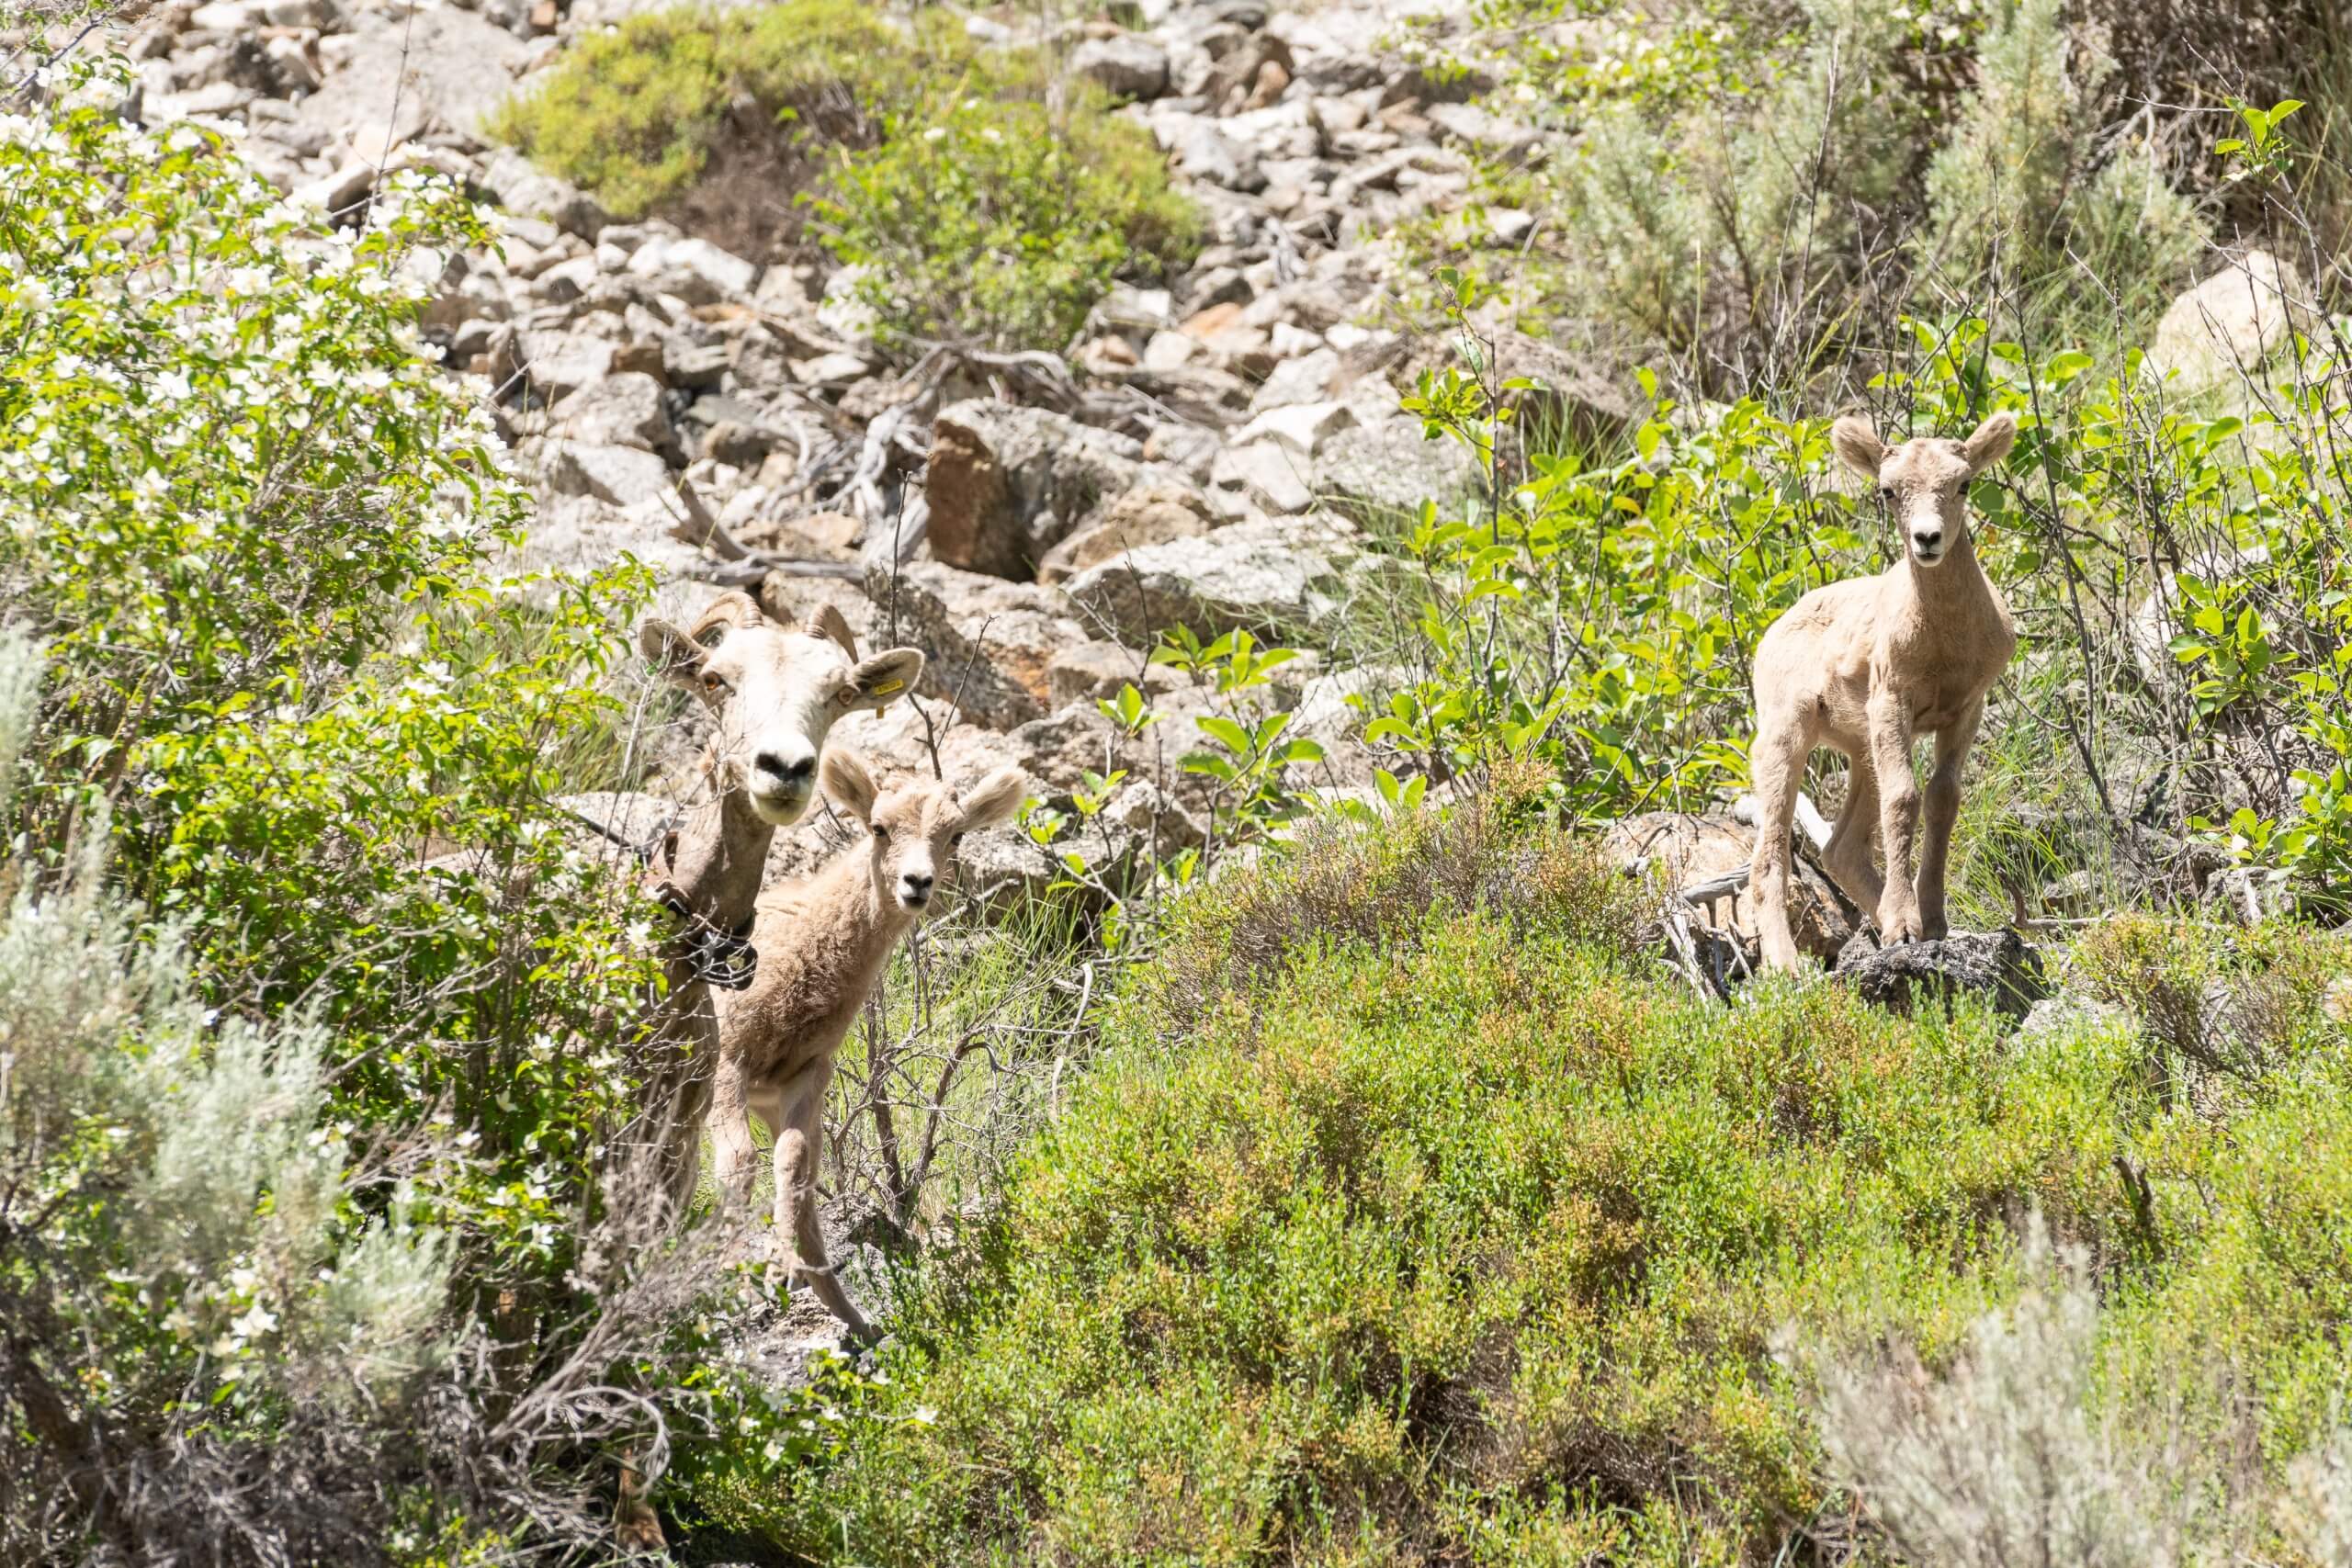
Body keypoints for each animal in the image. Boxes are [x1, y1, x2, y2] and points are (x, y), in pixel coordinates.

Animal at [700, 751, 1025, 1344]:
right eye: (878, 827)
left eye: (956, 835)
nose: (916, 882)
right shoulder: (729, 1061)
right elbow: (739, 1164)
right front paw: (738, 1274)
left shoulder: (801, 1076)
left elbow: (794, 1167)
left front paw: (797, 1281)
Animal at [1749, 409, 2022, 968]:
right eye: (1888, 490)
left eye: (1964, 483)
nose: (1927, 539)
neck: (1944, 644)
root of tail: (1768, 637)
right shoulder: (1891, 701)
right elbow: (1904, 799)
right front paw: (1902, 929)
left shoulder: (1965, 710)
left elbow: (1942, 799)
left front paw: (1932, 923)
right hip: (1786, 735)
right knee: (1770, 856)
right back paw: (1788, 967)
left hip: (1860, 750)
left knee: (1841, 850)